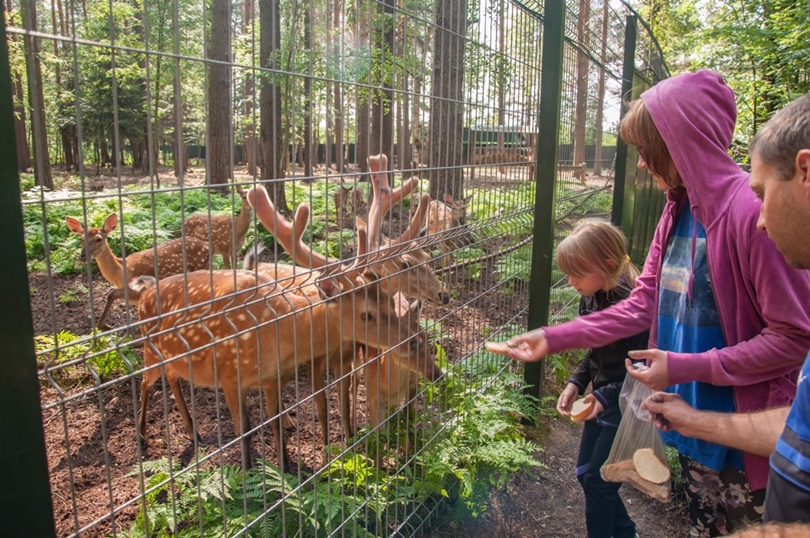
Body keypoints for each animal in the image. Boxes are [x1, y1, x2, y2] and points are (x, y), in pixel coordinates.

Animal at [66, 213, 210, 328]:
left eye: (98, 239)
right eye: (81, 239)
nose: (82, 256)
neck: (121, 272)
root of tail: (207, 246)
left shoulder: (139, 289)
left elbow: (112, 294)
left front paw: (103, 325)